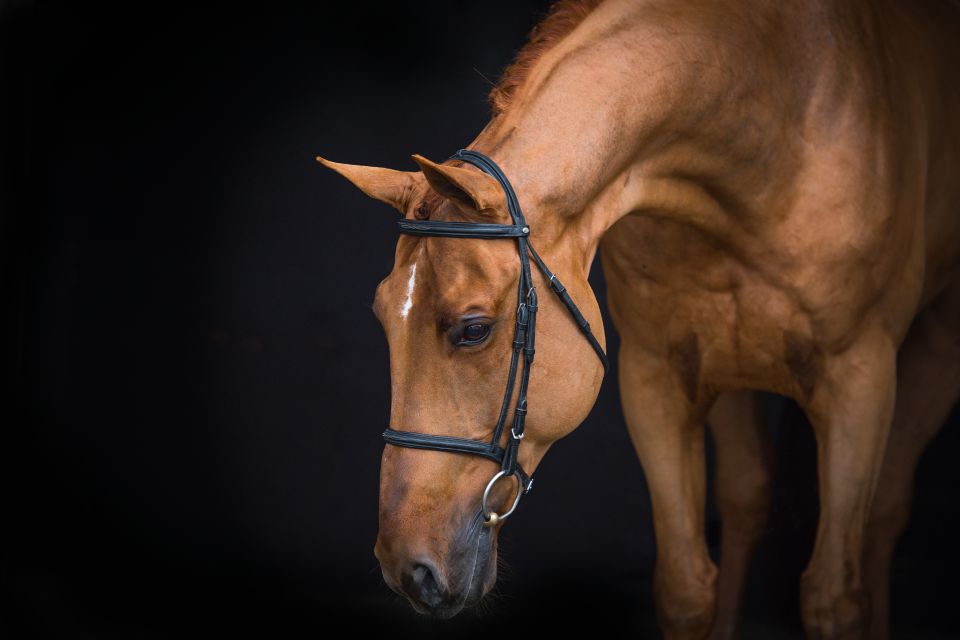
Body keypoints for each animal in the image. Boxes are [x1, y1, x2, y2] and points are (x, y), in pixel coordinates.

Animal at [316, 1, 960, 637]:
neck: (775, 130)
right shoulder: (656, 379)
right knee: (747, 498)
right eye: (382, 318)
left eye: (473, 329)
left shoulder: (859, 381)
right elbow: (685, 589)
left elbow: (834, 599)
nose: (407, 567)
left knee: (884, 512)